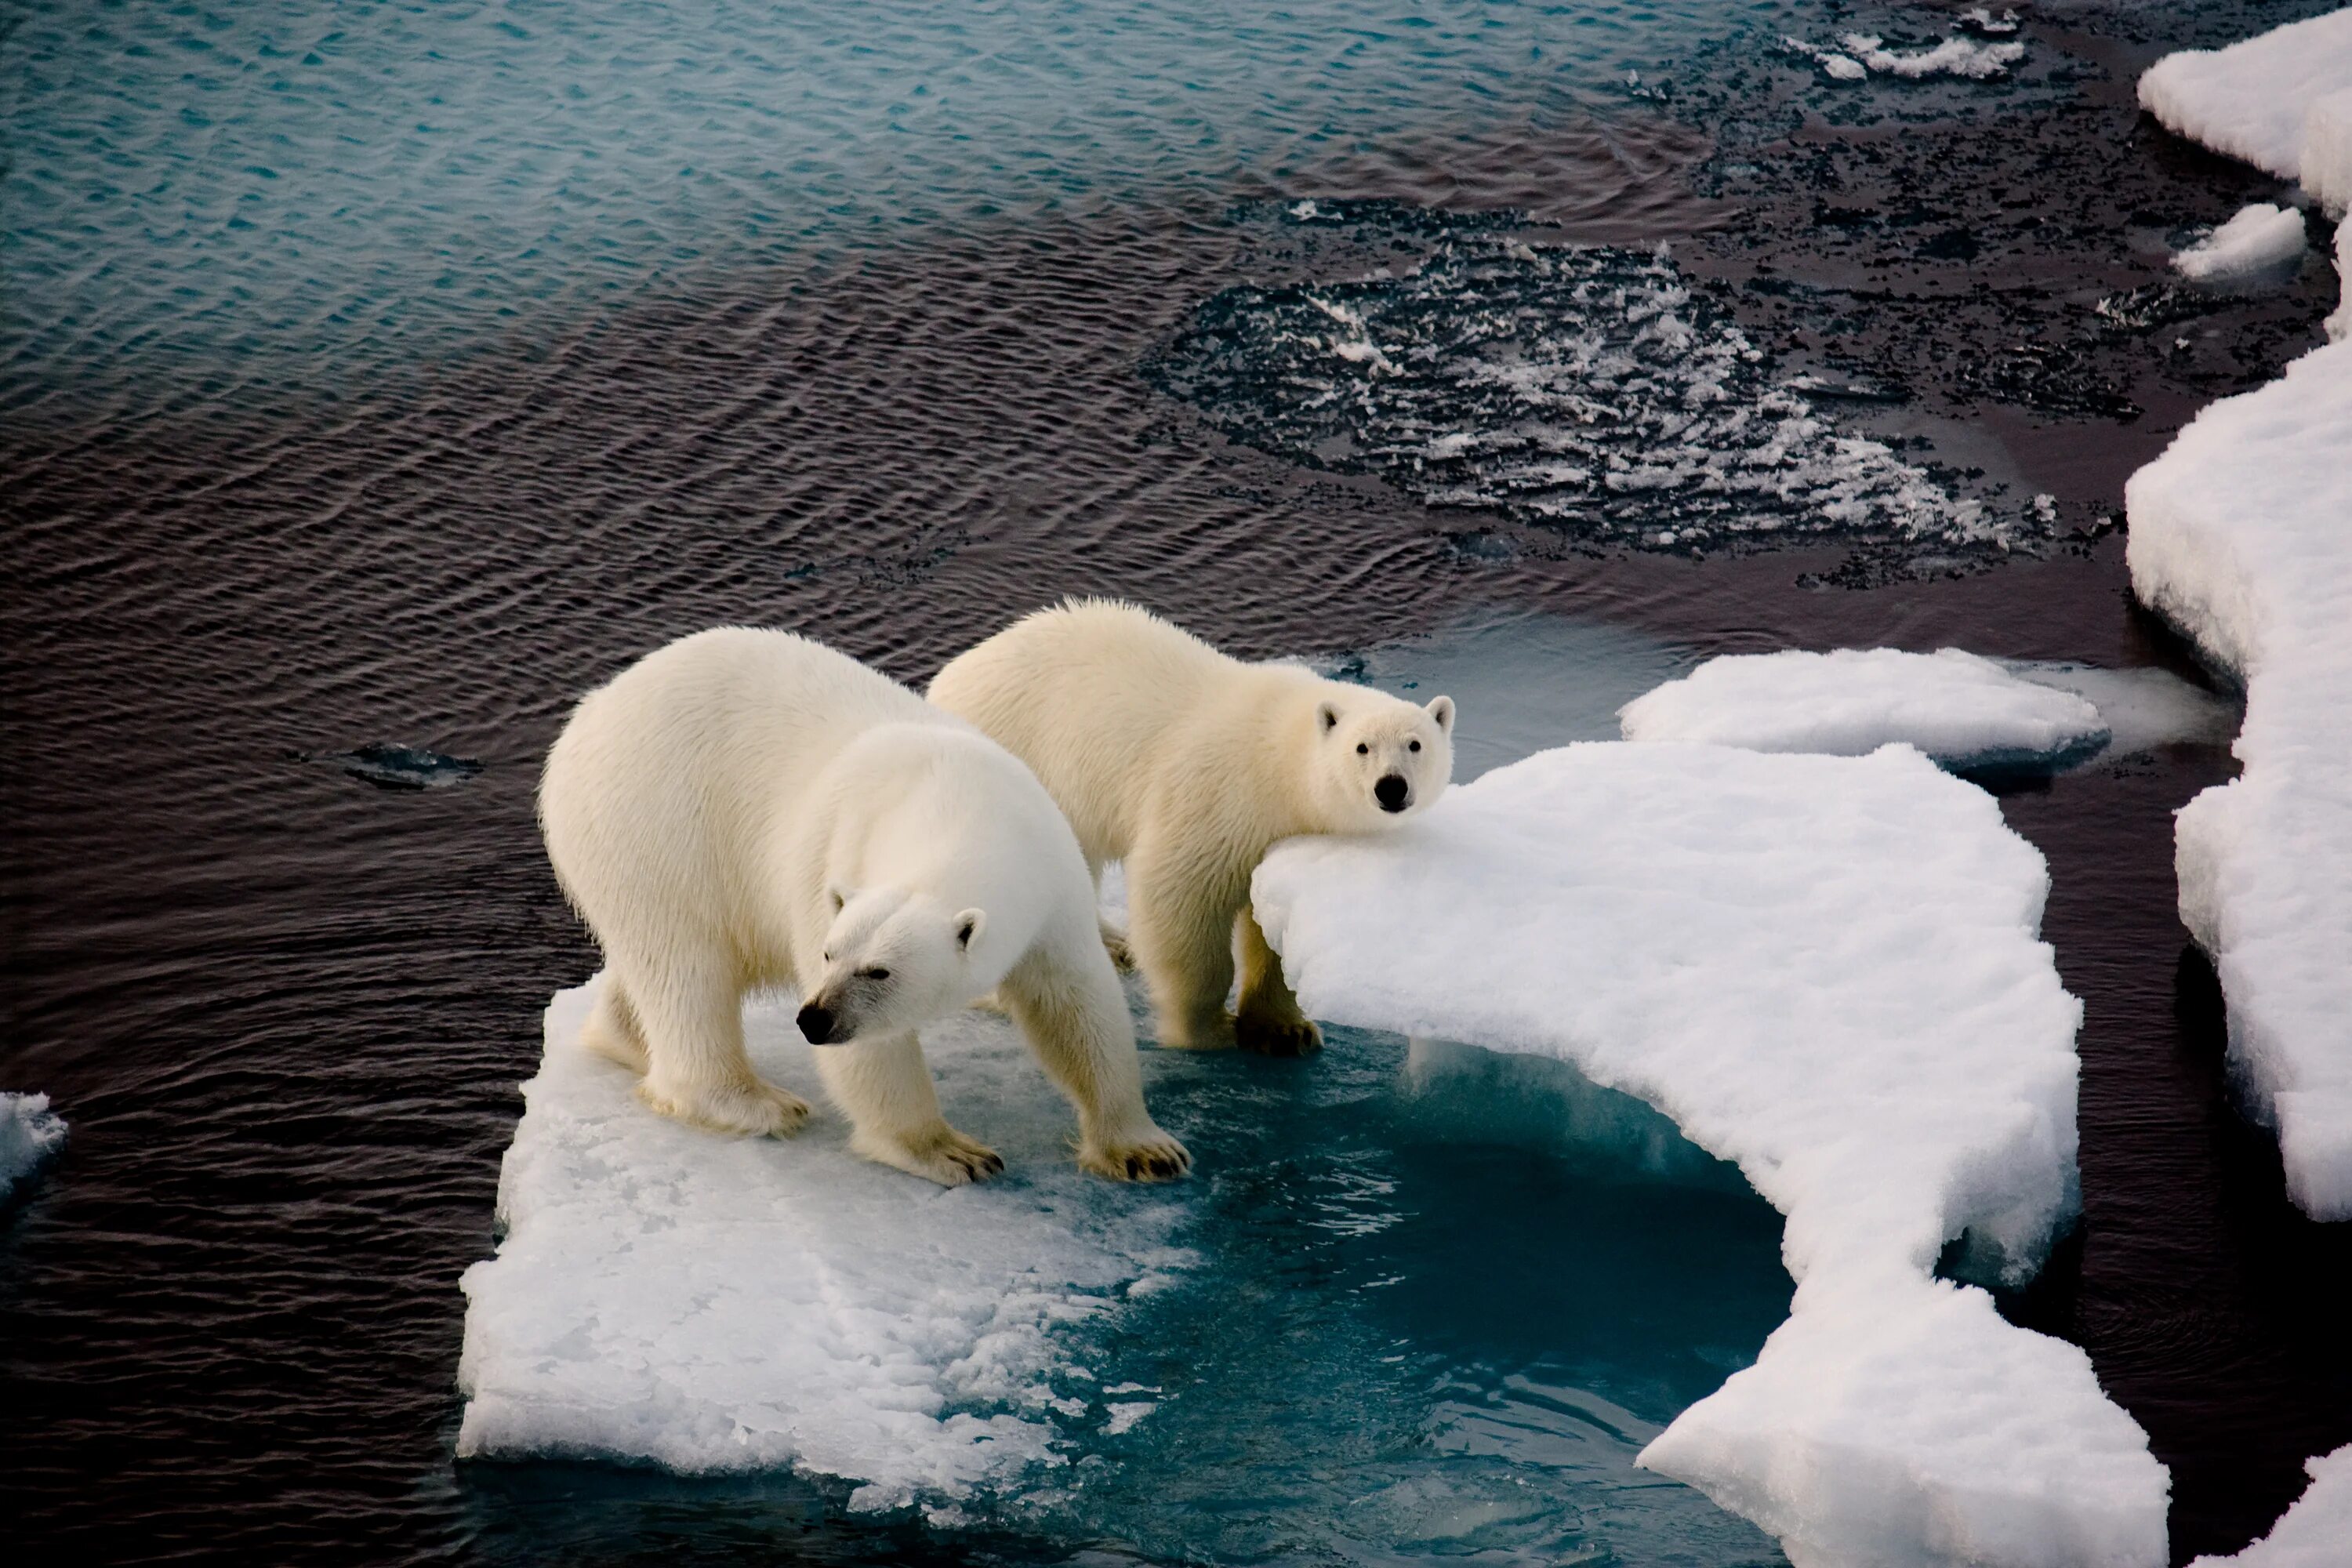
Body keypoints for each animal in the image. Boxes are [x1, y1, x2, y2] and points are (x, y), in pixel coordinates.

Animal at [541, 625, 1185, 1189]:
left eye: (879, 971)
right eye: (830, 955)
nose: (813, 1019)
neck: (960, 802)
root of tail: (587, 715)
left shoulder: (1050, 877)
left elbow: (1076, 1002)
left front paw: (1144, 1150)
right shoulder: (832, 855)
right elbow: (876, 1055)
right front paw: (953, 1152)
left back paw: (624, 1038)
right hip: (656, 825)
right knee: (686, 967)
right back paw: (757, 1104)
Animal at [922, 601, 1449, 1053]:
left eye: (1416, 744)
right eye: (1362, 747)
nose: (1391, 788)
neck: (1278, 759)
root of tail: (946, 679)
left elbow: (1272, 924)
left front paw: (1285, 1031)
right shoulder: (1218, 798)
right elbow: (1181, 900)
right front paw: (1207, 1029)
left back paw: (1113, 945)